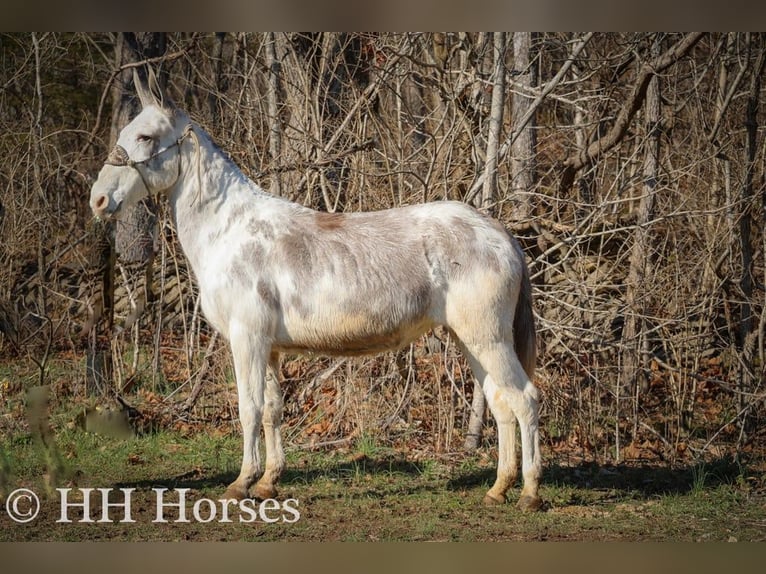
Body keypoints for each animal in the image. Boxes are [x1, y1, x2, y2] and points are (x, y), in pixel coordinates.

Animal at [89, 69, 543, 511]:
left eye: (145, 136)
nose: (98, 200)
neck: (230, 231)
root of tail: (500, 233)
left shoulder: (247, 338)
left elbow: (249, 408)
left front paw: (241, 483)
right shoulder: (269, 347)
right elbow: (272, 409)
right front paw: (268, 482)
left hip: (488, 339)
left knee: (525, 399)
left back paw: (529, 492)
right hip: (471, 339)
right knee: (500, 403)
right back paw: (498, 488)